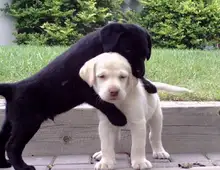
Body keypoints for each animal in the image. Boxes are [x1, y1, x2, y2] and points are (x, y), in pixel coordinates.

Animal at [0, 22, 156, 170]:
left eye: (145, 54)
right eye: (128, 50)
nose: (140, 72)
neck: (97, 48)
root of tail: (12, 88)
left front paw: (150, 85)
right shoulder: (85, 88)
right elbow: (102, 101)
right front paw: (118, 118)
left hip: (11, 122)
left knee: (2, 138)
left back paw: (4, 163)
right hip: (27, 123)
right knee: (12, 146)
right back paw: (22, 166)